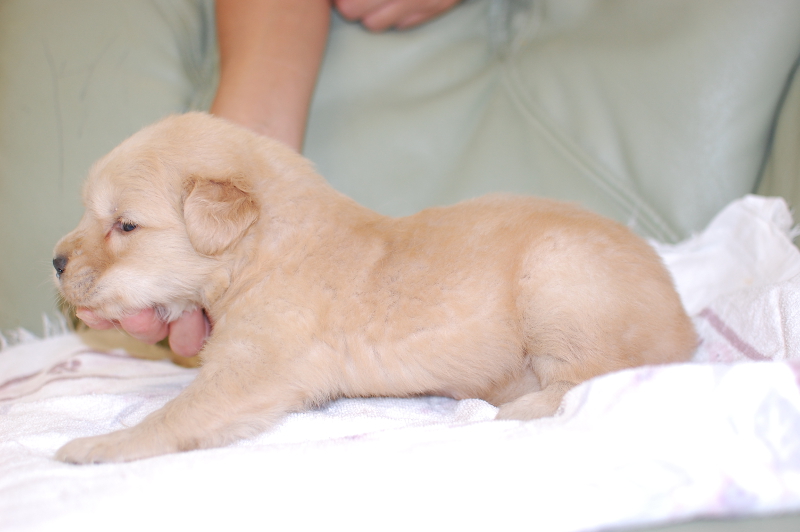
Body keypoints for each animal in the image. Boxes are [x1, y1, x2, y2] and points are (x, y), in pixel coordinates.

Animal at [53, 112, 696, 462]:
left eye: (124, 225)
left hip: (558, 283)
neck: (263, 250)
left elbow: (175, 416)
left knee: (591, 377)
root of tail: (686, 326)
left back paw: (518, 407)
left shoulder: (251, 371)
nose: (55, 262)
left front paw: (97, 447)